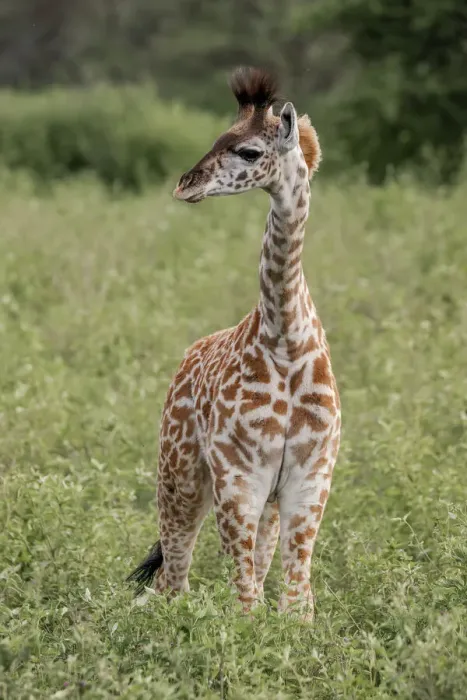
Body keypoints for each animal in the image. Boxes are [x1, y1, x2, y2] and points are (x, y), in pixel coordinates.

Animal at [127, 67, 341, 621]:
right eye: (217, 136)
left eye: (247, 150)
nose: (185, 185)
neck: (285, 339)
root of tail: (188, 356)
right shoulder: (239, 475)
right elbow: (244, 599)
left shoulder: (309, 476)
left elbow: (295, 601)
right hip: (179, 474)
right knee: (171, 580)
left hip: (259, 499)